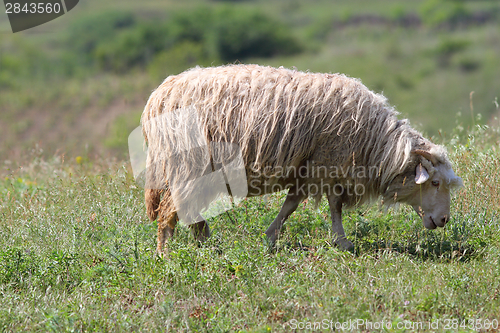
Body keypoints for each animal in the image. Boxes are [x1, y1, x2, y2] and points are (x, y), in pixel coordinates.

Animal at [140, 63, 460, 253]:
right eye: (434, 183)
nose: (444, 220)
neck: (375, 141)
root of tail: (159, 94)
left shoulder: (315, 168)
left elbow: (294, 203)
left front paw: (271, 236)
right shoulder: (325, 163)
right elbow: (330, 206)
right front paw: (342, 242)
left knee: (188, 207)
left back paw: (204, 243)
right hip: (189, 163)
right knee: (171, 209)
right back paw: (166, 253)